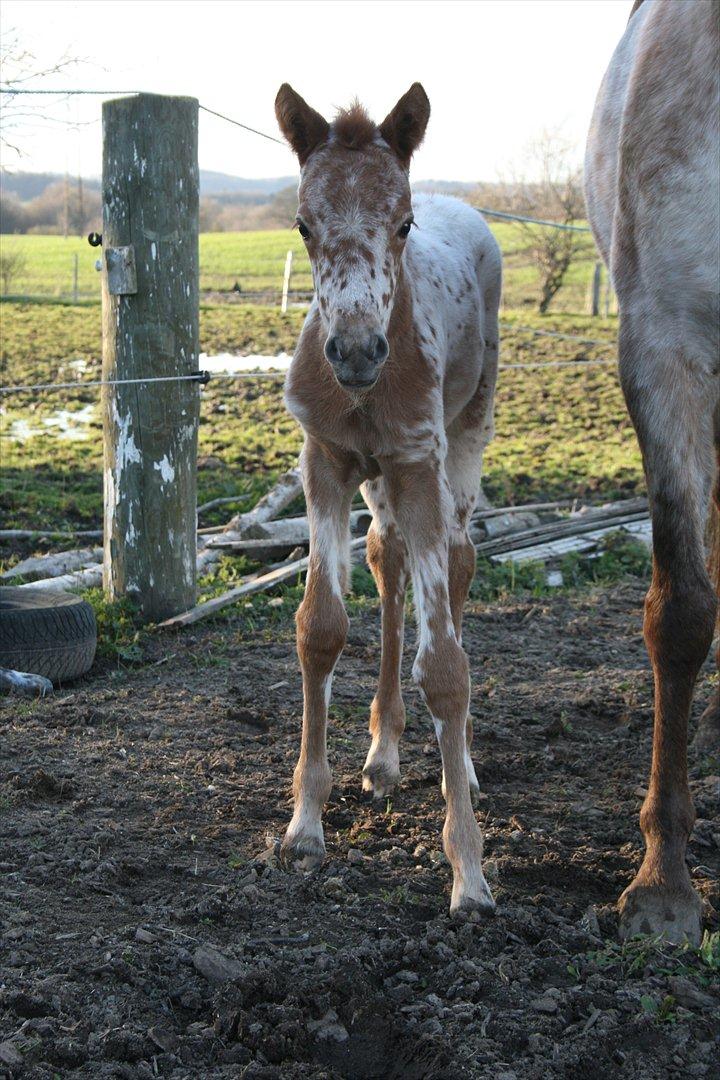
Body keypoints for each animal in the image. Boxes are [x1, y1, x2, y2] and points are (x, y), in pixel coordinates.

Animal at [274, 83, 502, 914]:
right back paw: (383, 753)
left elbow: (446, 667)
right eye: (303, 224)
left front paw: (468, 871)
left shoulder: (418, 462)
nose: (355, 352)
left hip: (462, 438)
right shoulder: (327, 461)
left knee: (458, 561)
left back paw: (458, 764)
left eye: (402, 223)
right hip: (379, 479)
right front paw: (305, 826)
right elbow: (321, 627)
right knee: (387, 557)